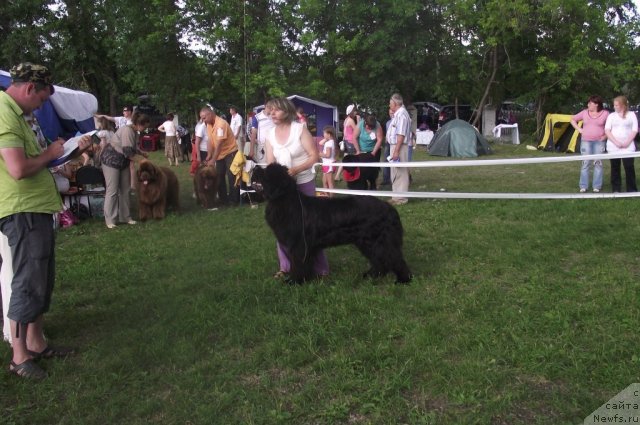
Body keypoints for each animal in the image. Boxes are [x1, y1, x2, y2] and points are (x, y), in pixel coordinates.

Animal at [252, 164, 412, 284]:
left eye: (265, 173)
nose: (255, 167)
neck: (284, 200)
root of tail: (389, 208)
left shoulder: (298, 245)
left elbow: (298, 264)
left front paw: (294, 281)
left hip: (377, 240)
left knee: (393, 257)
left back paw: (403, 279)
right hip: (367, 242)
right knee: (379, 259)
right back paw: (371, 275)